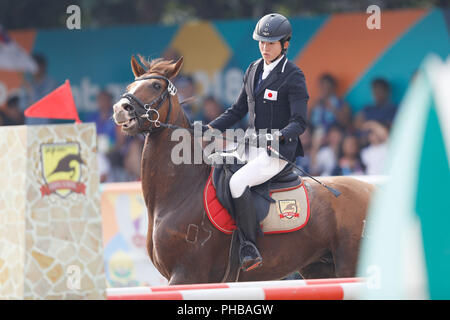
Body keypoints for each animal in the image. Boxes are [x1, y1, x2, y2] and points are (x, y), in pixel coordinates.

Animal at [113, 55, 376, 284]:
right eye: (130, 85)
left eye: (156, 85)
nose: (120, 109)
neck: (181, 192)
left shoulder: (187, 275)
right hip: (320, 270)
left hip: (349, 267)